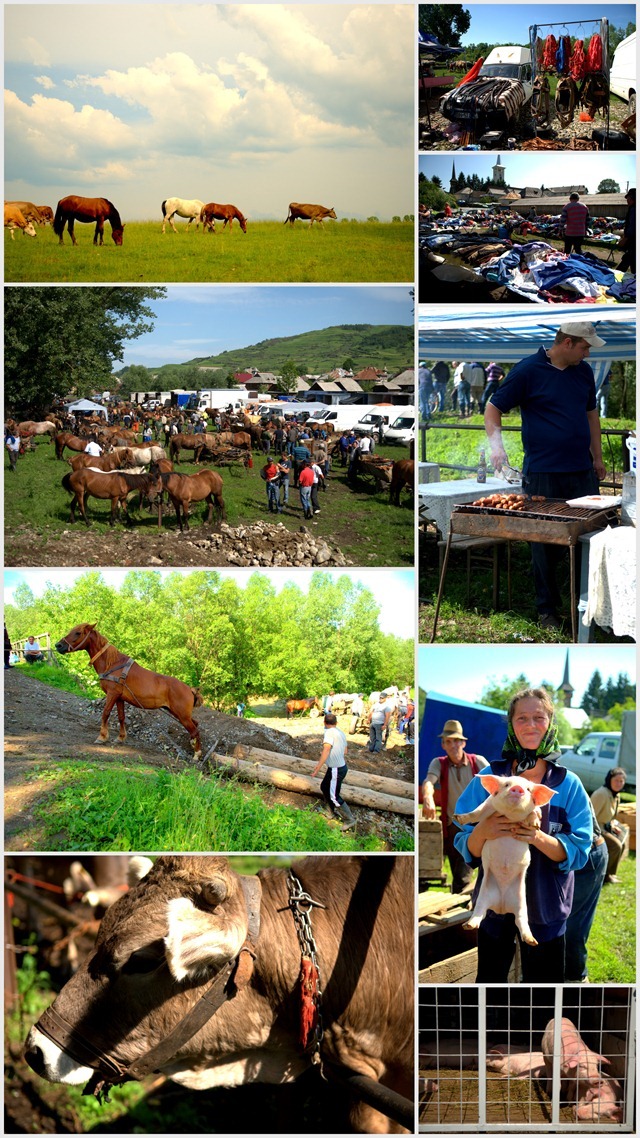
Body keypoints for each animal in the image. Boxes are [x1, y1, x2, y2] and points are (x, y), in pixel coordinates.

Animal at [57, 628, 202, 760]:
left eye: (78, 632)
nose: (58, 645)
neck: (112, 663)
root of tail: (190, 689)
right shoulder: (119, 698)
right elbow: (121, 717)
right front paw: (120, 738)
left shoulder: (112, 694)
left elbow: (105, 713)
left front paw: (102, 737)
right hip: (177, 712)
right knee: (195, 724)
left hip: (181, 715)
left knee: (195, 730)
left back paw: (197, 754)